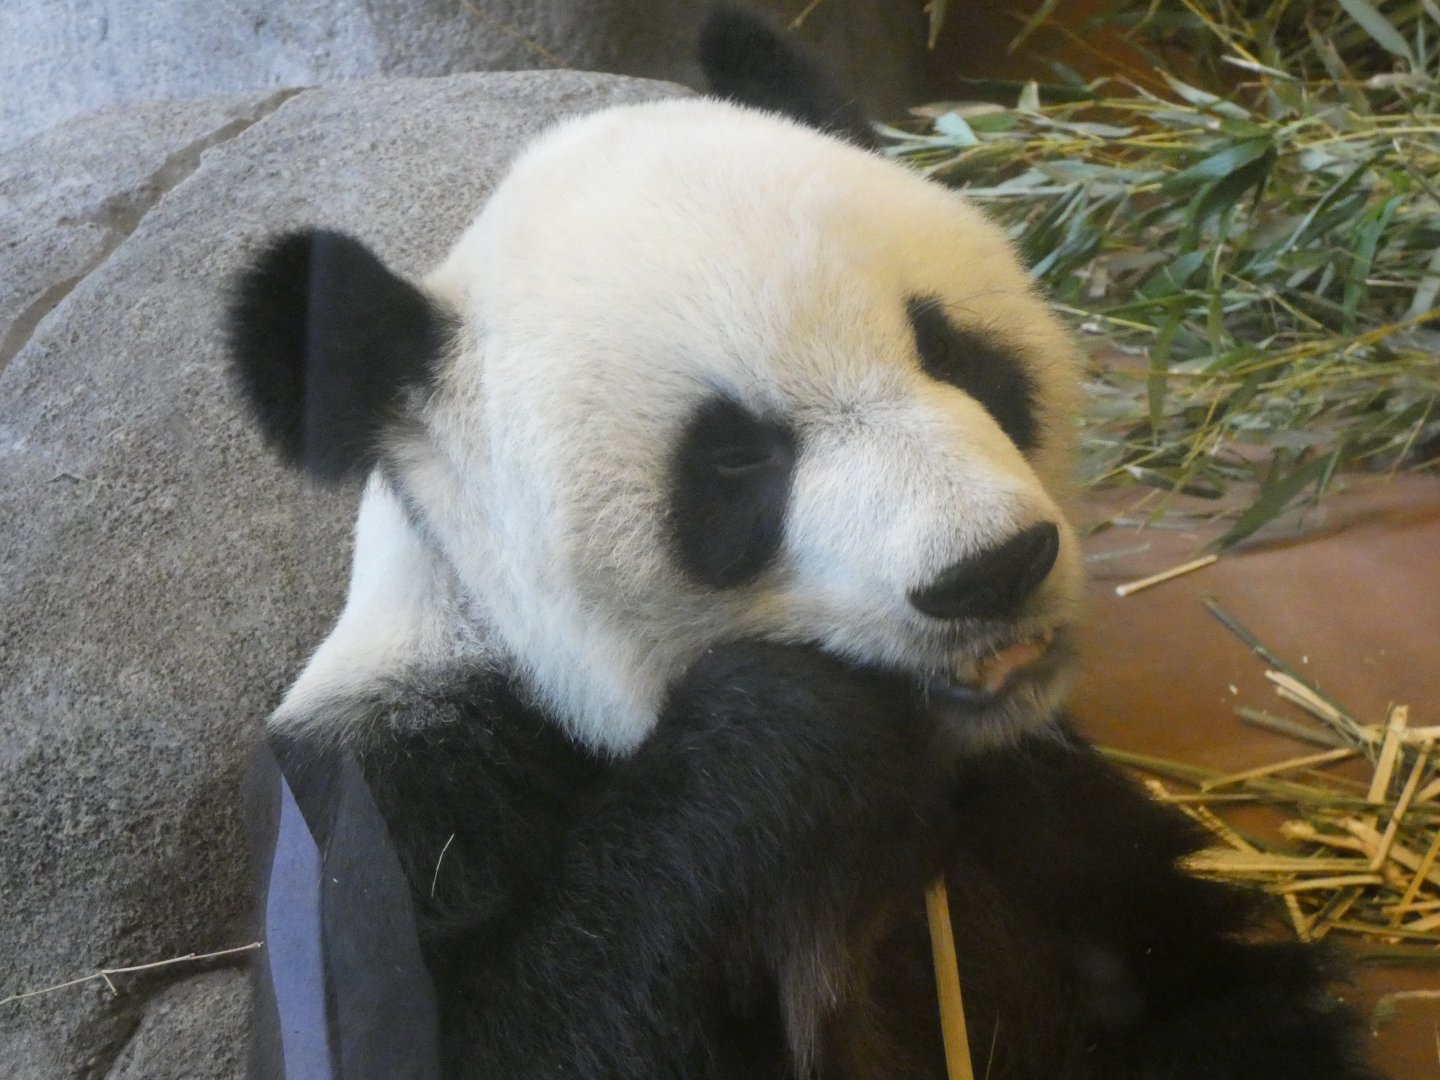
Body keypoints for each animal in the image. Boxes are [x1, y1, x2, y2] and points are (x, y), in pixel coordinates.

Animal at [231, 8, 1384, 1079]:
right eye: (735, 459)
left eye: (949, 350)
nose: (990, 569)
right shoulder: (401, 803)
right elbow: (482, 1028)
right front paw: (789, 731)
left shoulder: (1047, 803)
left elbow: (1203, 997)